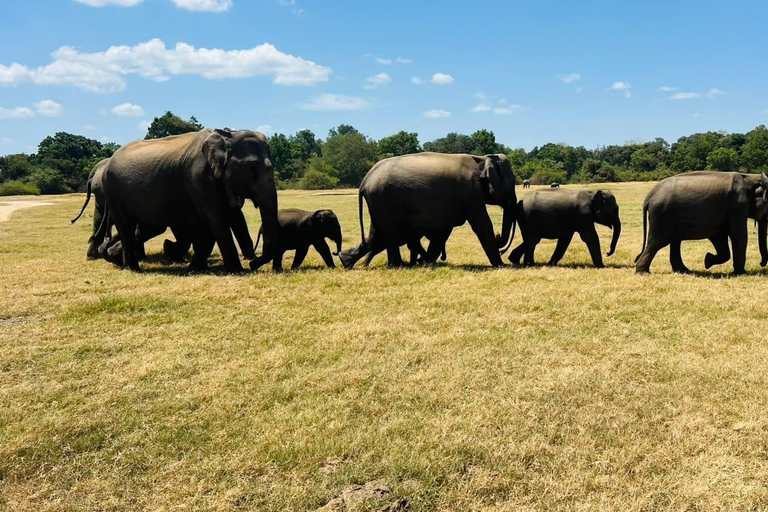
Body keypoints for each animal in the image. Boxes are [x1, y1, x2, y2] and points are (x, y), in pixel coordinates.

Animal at [103, 128, 278, 272]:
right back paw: (131, 268)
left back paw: (115, 258)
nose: (253, 264)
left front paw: (197, 268)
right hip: (112, 191)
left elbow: (219, 221)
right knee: (127, 227)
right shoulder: (198, 177)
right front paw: (237, 271)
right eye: (252, 168)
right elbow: (216, 219)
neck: (225, 136)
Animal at [339, 152, 517, 268]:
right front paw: (501, 266)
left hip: (378, 203)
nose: (499, 237)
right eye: (512, 181)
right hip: (383, 200)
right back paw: (398, 265)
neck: (481, 158)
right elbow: (482, 225)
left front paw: (425, 261)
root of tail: (365, 180)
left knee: (376, 235)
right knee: (388, 233)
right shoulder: (470, 191)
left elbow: (444, 231)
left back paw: (345, 261)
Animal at [635, 171, 768, 275]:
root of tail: (649, 196)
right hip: (662, 215)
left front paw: (707, 261)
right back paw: (643, 272)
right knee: (658, 242)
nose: (761, 264)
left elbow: (719, 237)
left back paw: (683, 270)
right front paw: (741, 273)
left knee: (674, 241)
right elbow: (738, 235)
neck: (750, 177)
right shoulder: (738, 205)